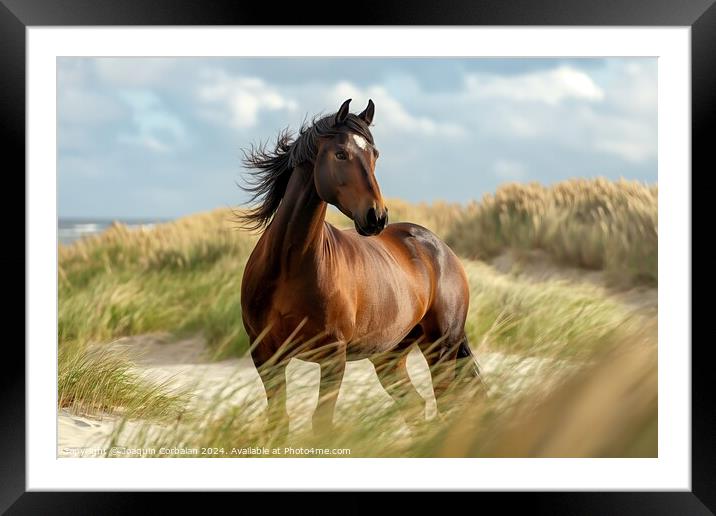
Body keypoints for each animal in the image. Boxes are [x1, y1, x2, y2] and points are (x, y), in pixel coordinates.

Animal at [241, 98, 482, 436]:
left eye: (374, 154)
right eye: (340, 153)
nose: (376, 217)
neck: (288, 267)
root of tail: (442, 250)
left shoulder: (332, 357)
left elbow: (322, 423)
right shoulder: (266, 356)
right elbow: (279, 421)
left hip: (441, 347)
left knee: (445, 402)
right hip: (391, 357)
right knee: (416, 404)